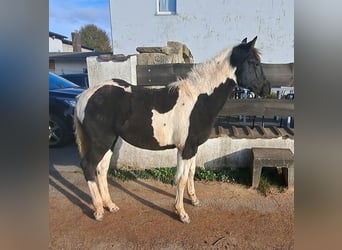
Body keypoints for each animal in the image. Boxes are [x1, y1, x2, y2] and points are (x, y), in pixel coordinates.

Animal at [74, 36, 268, 224]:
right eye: (254, 63)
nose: (266, 89)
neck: (199, 100)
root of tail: (84, 96)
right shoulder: (186, 149)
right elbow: (181, 179)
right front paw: (181, 213)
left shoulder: (192, 148)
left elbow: (191, 173)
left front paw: (194, 200)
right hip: (101, 142)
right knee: (89, 167)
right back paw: (99, 211)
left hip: (110, 142)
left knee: (101, 169)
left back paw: (110, 205)